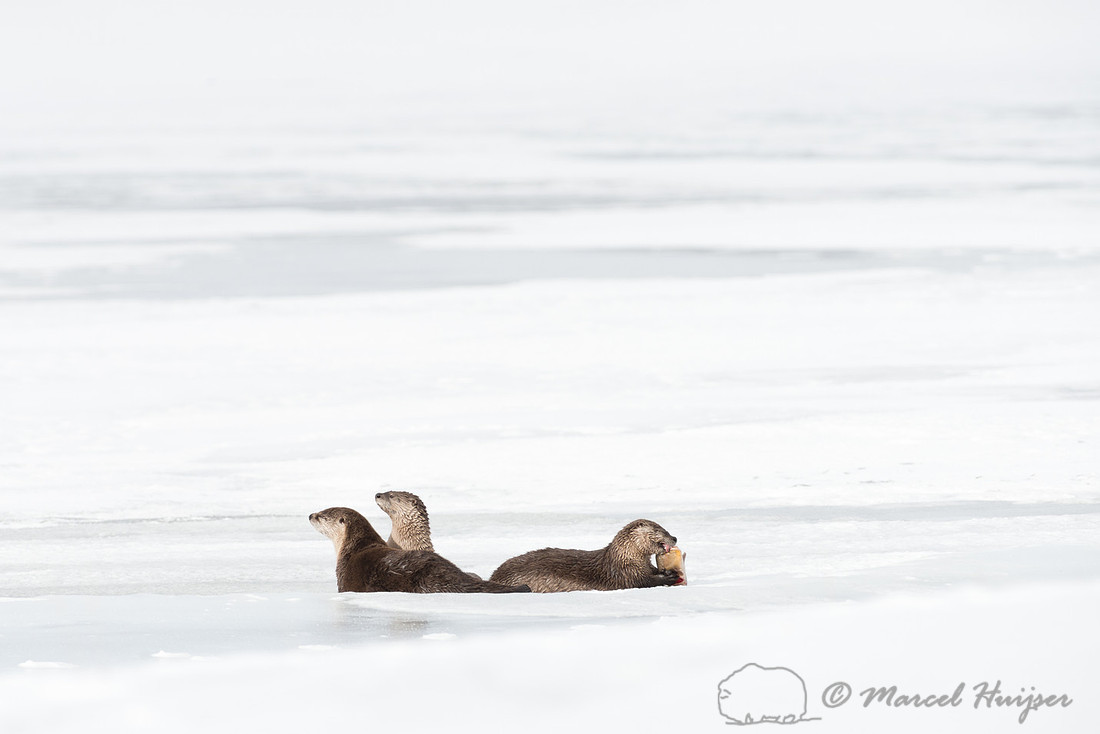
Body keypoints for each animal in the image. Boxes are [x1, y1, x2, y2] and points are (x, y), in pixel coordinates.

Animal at [488, 519, 682, 593]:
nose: (674, 537)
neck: (624, 558)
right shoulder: (625, 574)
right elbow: (643, 582)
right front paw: (670, 577)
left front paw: (666, 572)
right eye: (659, 530)